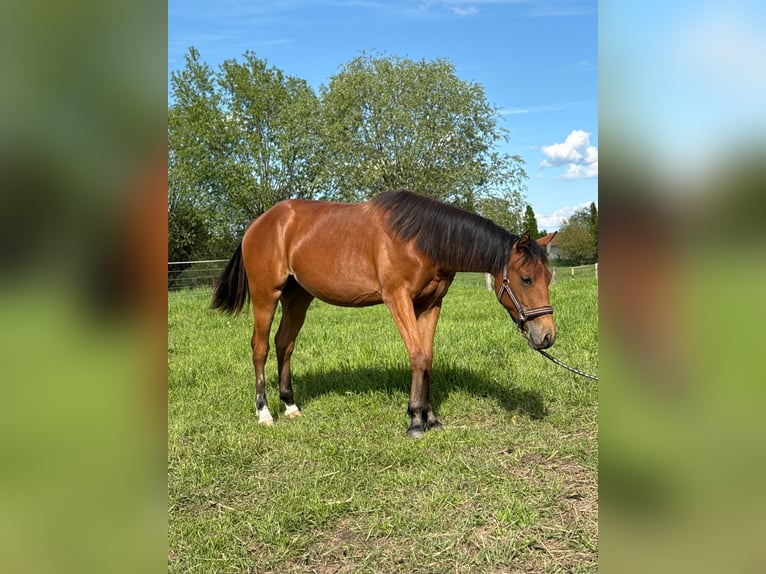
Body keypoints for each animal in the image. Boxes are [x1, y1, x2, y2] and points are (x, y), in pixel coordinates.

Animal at [211, 190, 556, 439]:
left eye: (549, 277)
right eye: (526, 278)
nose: (547, 335)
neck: (420, 239)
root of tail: (258, 224)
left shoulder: (431, 304)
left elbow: (427, 357)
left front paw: (430, 418)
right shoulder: (397, 298)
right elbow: (417, 355)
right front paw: (415, 421)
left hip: (298, 298)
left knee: (285, 345)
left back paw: (290, 405)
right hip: (266, 296)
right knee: (260, 348)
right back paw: (264, 413)